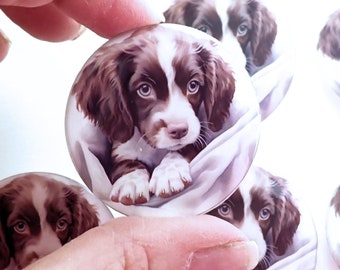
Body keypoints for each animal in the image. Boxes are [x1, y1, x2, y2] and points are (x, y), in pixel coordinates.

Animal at [72, 24, 236, 205]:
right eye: (144, 89)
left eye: (193, 85)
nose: (179, 130)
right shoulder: (119, 148)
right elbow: (125, 162)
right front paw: (131, 182)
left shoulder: (199, 137)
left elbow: (185, 148)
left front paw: (169, 173)